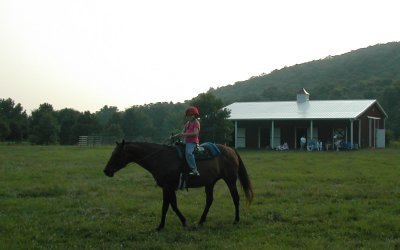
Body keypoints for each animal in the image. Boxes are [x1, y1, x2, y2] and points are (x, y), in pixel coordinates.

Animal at [102, 140, 253, 229]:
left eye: (117, 155)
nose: (106, 171)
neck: (160, 158)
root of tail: (231, 150)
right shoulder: (169, 188)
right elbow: (172, 205)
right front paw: (180, 222)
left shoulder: (167, 187)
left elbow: (167, 206)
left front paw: (163, 226)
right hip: (210, 183)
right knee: (209, 201)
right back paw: (201, 221)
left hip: (230, 180)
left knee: (235, 198)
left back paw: (236, 220)